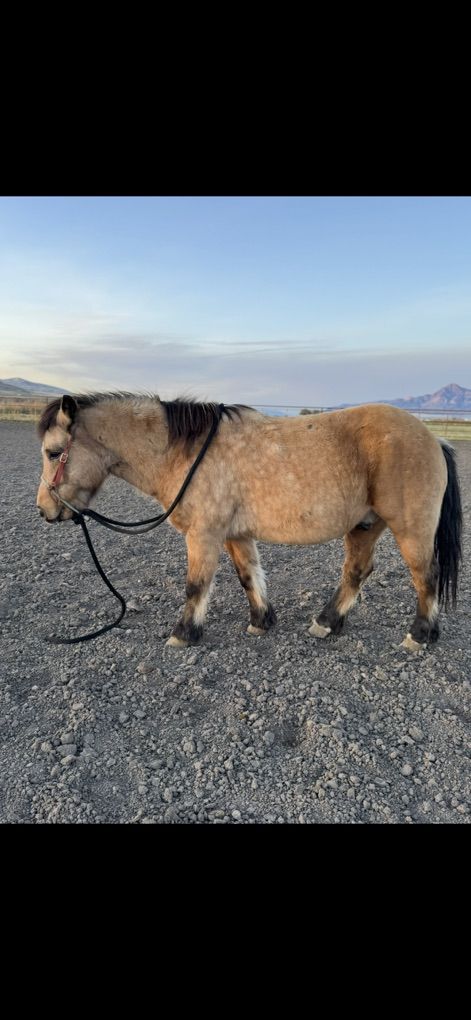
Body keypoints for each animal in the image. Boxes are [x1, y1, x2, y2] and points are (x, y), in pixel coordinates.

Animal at [36, 393, 462, 651]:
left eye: (54, 452)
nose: (44, 510)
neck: (186, 452)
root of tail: (433, 439)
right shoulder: (234, 535)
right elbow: (248, 576)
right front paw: (261, 621)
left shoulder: (203, 535)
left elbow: (196, 585)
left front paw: (183, 633)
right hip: (366, 525)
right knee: (357, 571)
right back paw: (326, 622)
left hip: (411, 529)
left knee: (425, 575)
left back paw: (420, 635)